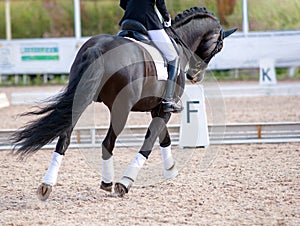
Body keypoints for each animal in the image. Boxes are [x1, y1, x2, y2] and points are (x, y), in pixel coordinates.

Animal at [11, 6, 237, 200]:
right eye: (219, 46)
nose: (194, 76)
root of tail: (99, 48)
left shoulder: (156, 108)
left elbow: (163, 137)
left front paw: (170, 169)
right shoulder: (164, 108)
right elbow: (149, 141)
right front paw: (126, 182)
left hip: (80, 100)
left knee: (64, 138)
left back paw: (46, 185)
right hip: (121, 109)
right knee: (107, 143)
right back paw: (108, 182)